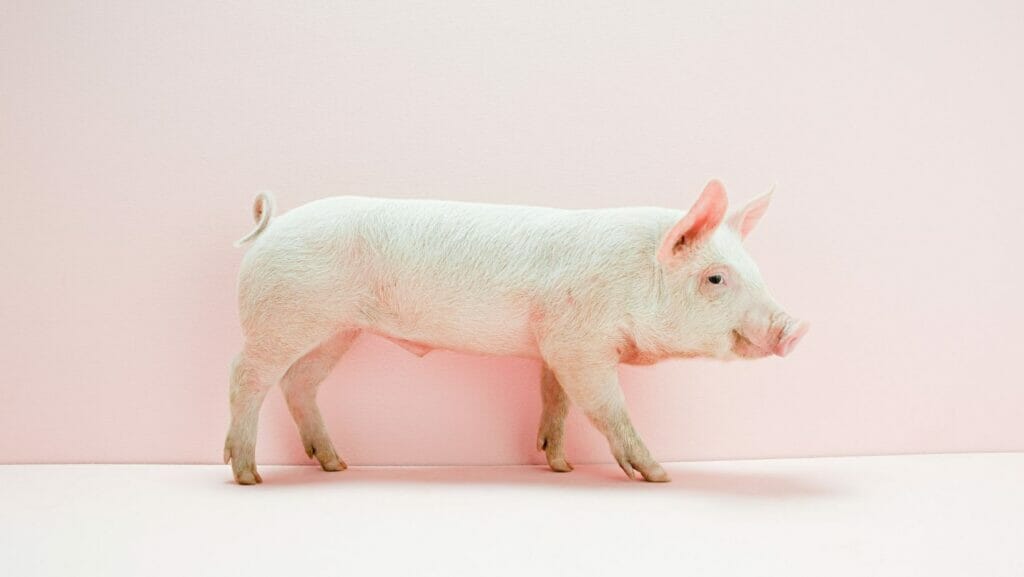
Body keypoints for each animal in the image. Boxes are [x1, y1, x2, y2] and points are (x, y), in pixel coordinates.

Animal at [224, 180, 808, 485]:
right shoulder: (580, 343)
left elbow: (556, 398)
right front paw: (659, 474)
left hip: (337, 331)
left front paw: (559, 465)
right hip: (282, 318)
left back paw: (335, 465)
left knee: (299, 383)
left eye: (754, 269)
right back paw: (248, 474)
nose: (797, 327)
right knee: (246, 376)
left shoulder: (553, 346)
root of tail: (271, 227)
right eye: (716, 278)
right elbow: (605, 406)